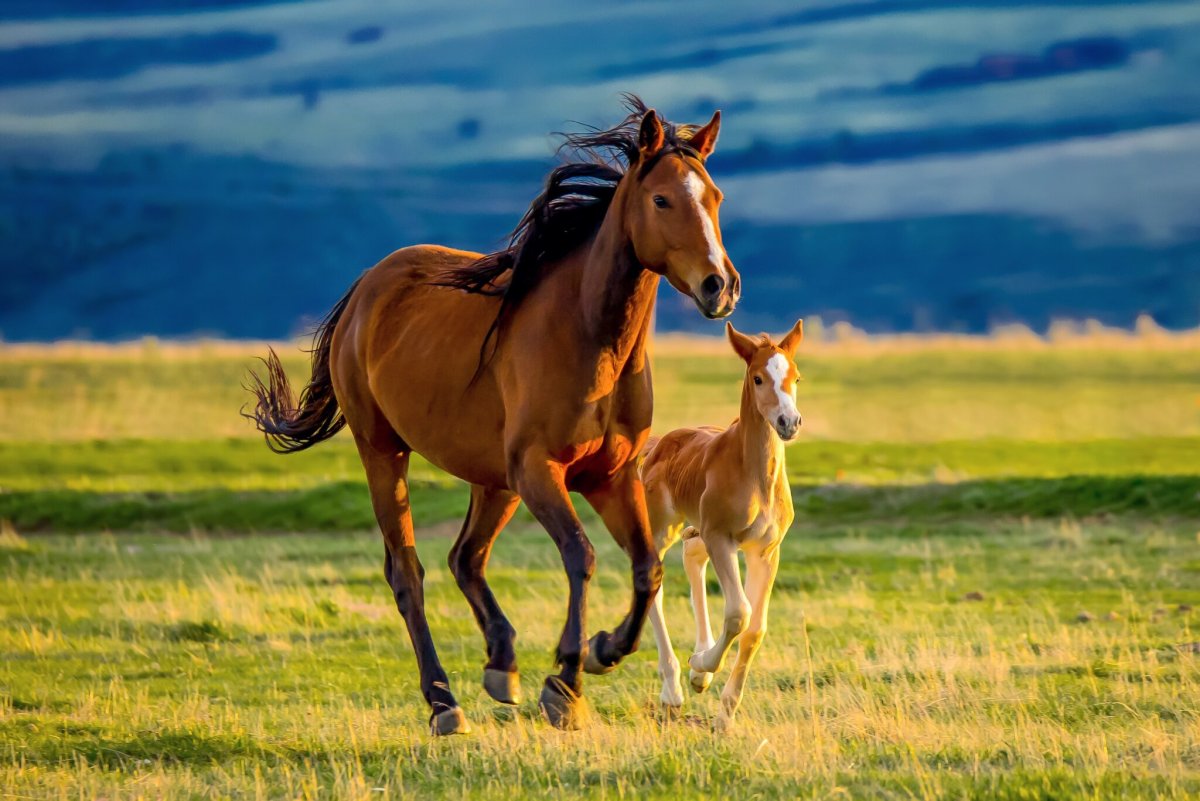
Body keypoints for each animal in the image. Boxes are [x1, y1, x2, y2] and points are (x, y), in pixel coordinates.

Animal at [245, 95, 741, 735]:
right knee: (408, 572)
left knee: (466, 558)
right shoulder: (540, 471)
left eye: (715, 197)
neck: (590, 339)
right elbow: (580, 556)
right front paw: (565, 683)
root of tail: (366, 289)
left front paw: (603, 650)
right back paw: (443, 701)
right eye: (662, 200)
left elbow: (647, 568)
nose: (720, 286)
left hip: (493, 481)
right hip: (386, 453)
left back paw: (501, 665)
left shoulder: (610, 477)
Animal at [640, 319, 803, 731]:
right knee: (654, 581)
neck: (755, 475)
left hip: (697, 529)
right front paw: (701, 665)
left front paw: (724, 714)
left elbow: (756, 628)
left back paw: (696, 674)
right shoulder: (722, 538)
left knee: (692, 556)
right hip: (662, 527)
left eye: (796, 376)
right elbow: (738, 613)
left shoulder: (765, 551)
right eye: (758, 378)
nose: (789, 423)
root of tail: (659, 443)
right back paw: (674, 689)